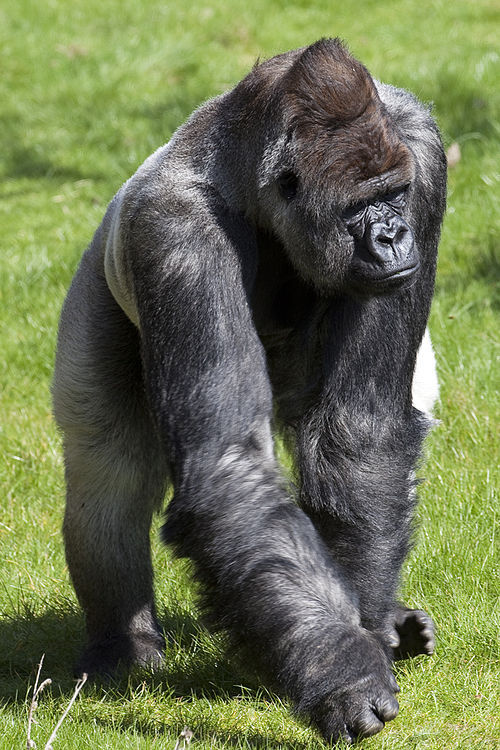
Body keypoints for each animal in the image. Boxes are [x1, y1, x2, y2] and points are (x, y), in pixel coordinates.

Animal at [53, 38, 447, 743]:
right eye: (358, 207)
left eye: (397, 194)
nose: (394, 235)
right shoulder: (178, 233)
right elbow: (229, 464)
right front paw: (344, 672)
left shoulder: (423, 156)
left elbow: (361, 428)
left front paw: (370, 629)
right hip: (101, 277)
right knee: (109, 471)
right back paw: (121, 648)